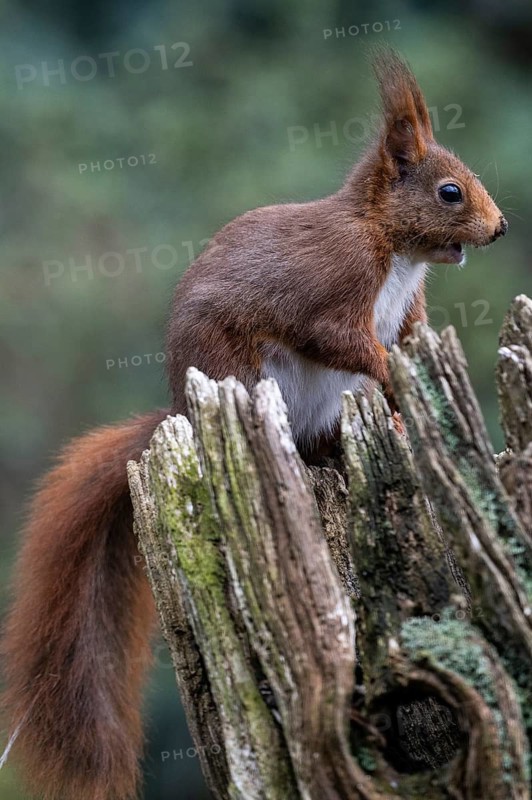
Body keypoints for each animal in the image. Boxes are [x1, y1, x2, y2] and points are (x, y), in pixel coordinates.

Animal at [2, 50, 507, 800]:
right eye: (450, 193)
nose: (499, 229)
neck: (390, 245)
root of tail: (180, 412)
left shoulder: (407, 308)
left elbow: (409, 337)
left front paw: (406, 394)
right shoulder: (333, 289)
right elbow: (341, 339)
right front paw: (392, 378)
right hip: (240, 371)